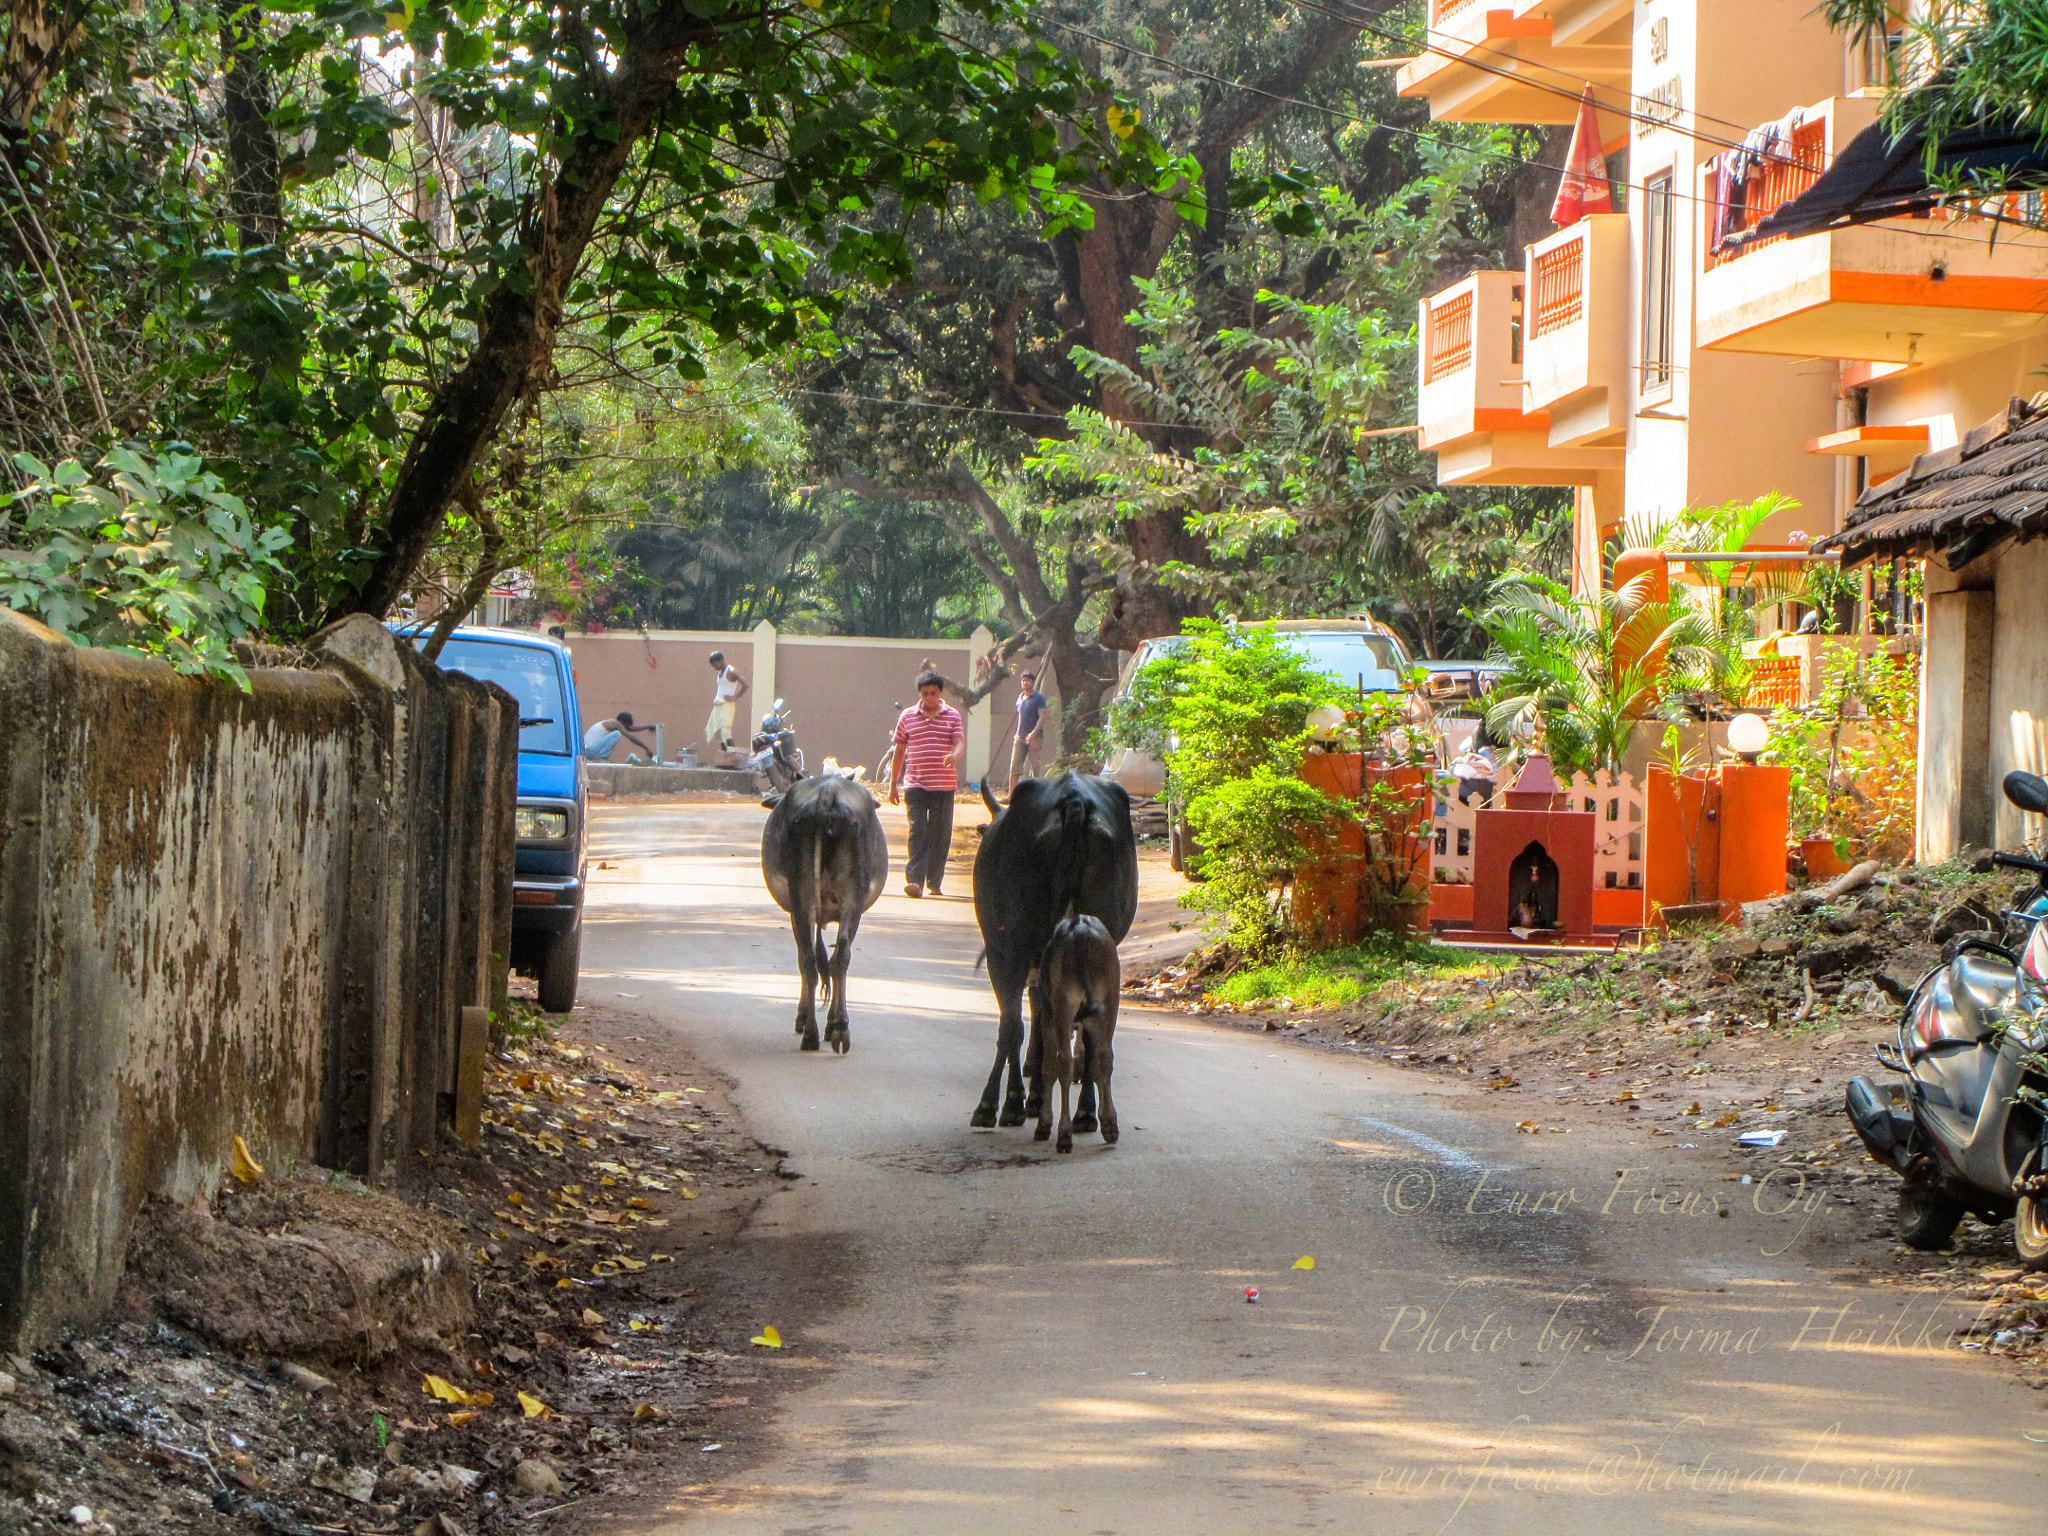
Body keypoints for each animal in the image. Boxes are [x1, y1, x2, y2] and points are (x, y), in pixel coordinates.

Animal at [761, 774, 888, 1056]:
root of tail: (828, 795)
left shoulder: (798, 911)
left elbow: (814, 960)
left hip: (811, 899)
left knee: (818, 959)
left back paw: (817, 1030)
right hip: (846, 900)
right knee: (836, 956)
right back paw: (833, 1028)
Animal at [970, 782, 1138, 1130]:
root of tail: (1074, 798)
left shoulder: (1006, 955)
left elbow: (1021, 1025)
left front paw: (1023, 1098)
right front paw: (1036, 1096)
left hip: (1011, 950)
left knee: (1012, 1025)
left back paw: (997, 1104)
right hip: (1099, 947)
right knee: (1090, 1031)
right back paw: (1086, 1112)